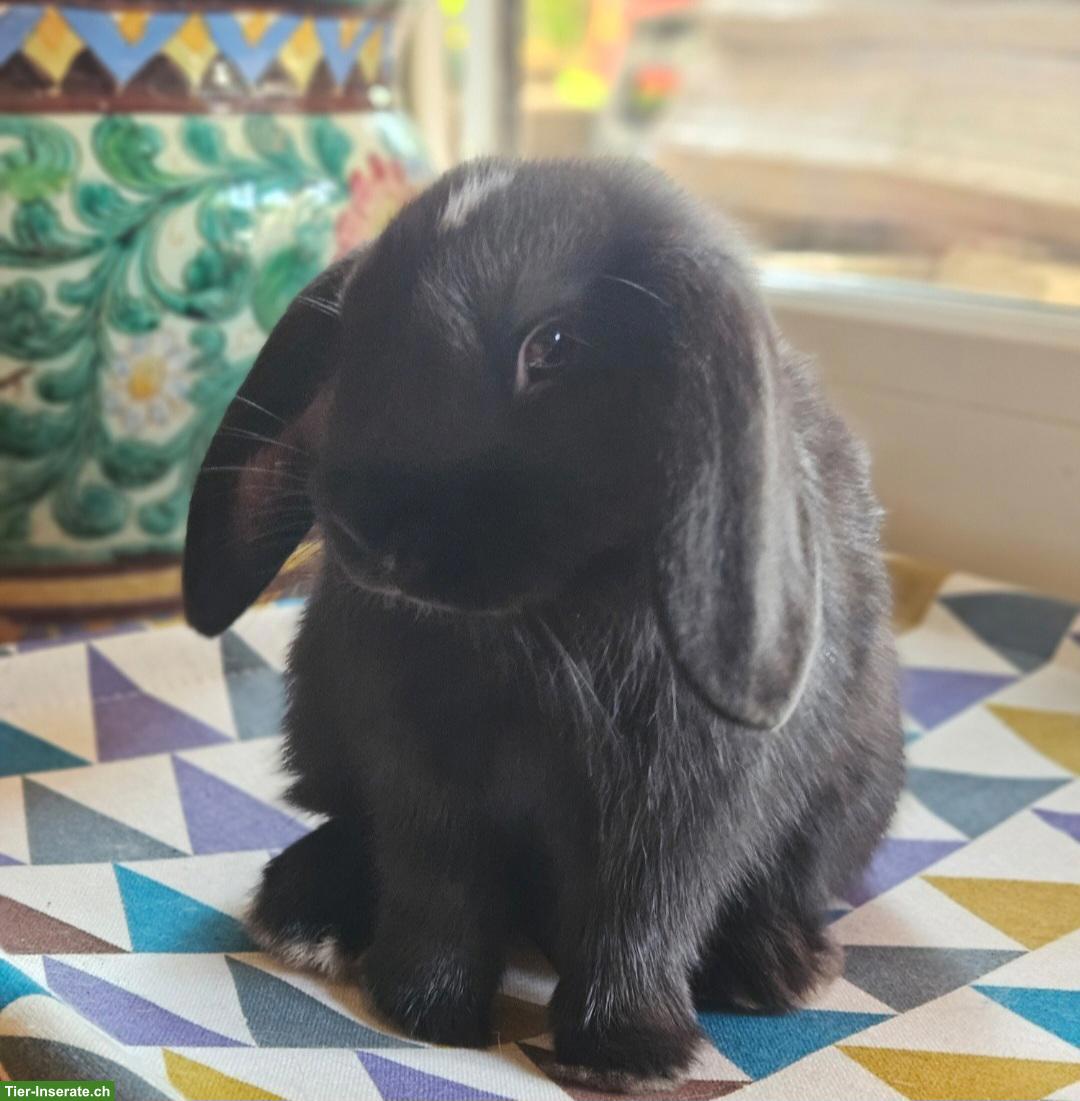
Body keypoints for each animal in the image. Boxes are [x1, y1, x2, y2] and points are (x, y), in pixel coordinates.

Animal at [183, 158, 904, 1092]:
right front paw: (425, 1010)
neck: (536, 631)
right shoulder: (421, 776)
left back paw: (774, 966)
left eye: (554, 346)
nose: (361, 529)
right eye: (352, 335)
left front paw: (629, 1054)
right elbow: (439, 883)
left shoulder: (679, 802)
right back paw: (302, 911)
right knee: (348, 827)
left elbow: (641, 913)